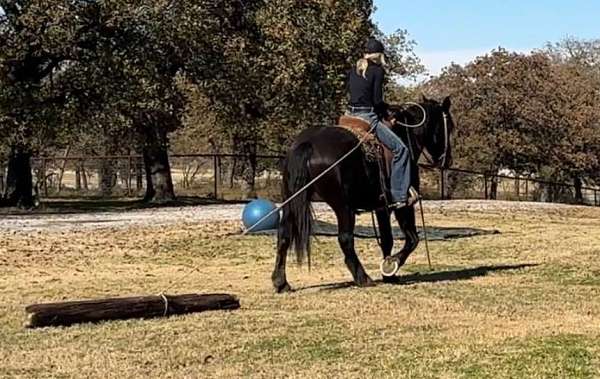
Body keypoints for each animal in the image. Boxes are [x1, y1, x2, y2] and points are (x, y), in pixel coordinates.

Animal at [274, 96, 454, 292]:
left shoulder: (381, 208)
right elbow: (412, 239)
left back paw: (281, 282)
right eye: (450, 126)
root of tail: (308, 144)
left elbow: (387, 239)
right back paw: (363, 278)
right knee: (345, 239)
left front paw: (389, 275)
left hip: (291, 201)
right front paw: (391, 265)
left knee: (284, 235)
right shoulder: (402, 205)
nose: (448, 160)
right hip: (343, 207)